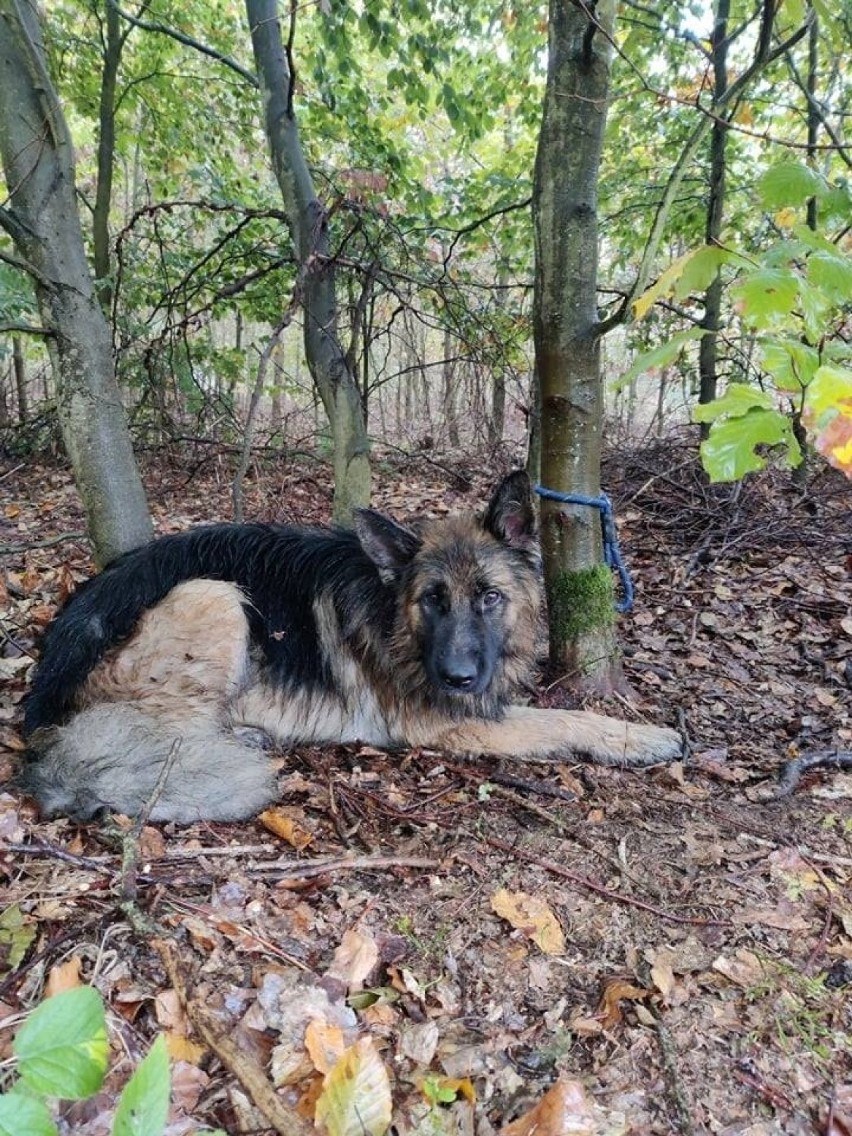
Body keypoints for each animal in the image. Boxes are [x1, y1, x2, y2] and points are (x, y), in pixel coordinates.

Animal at [20, 472, 681, 827]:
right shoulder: (447, 722)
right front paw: (640, 736)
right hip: (214, 595)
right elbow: (563, 717)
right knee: (169, 733)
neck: (390, 614)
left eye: (490, 597)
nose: (456, 678)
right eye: (431, 601)